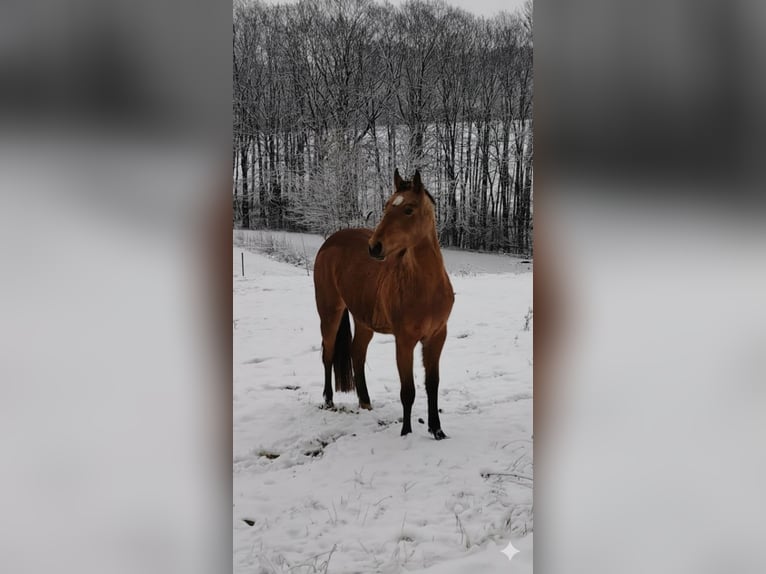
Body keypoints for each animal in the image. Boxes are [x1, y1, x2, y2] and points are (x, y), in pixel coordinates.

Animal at [313, 169, 454, 439]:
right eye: (386, 206)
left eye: (408, 209)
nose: (374, 247)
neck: (426, 288)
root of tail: (330, 242)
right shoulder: (405, 340)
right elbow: (408, 390)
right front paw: (406, 432)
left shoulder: (437, 337)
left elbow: (432, 385)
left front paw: (437, 430)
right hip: (330, 312)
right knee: (327, 354)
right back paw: (328, 400)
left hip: (363, 321)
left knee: (357, 353)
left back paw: (365, 402)